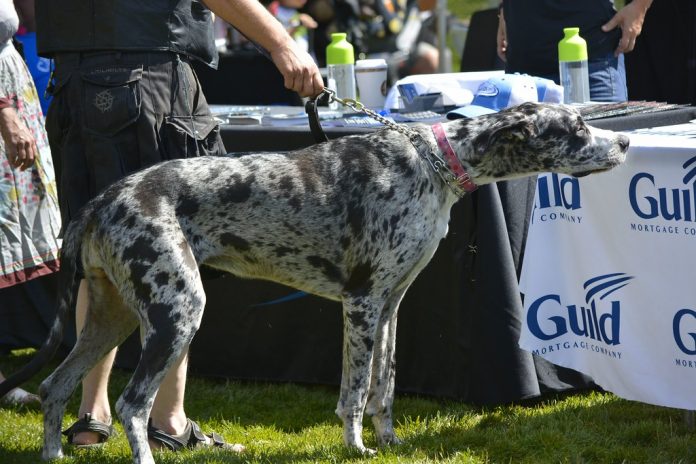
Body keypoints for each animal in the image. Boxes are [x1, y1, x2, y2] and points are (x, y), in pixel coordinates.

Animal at [0, 100, 632, 460]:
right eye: (577, 127)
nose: (625, 142)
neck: (432, 168)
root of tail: (105, 197)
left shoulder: (392, 304)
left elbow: (385, 386)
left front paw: (391, 442)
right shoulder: (361, 302)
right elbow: (352, 393)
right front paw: (356, 448)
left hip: (111, 317)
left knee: (56, 388)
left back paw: (53, 456)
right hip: (175, 313)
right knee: (132, 405)